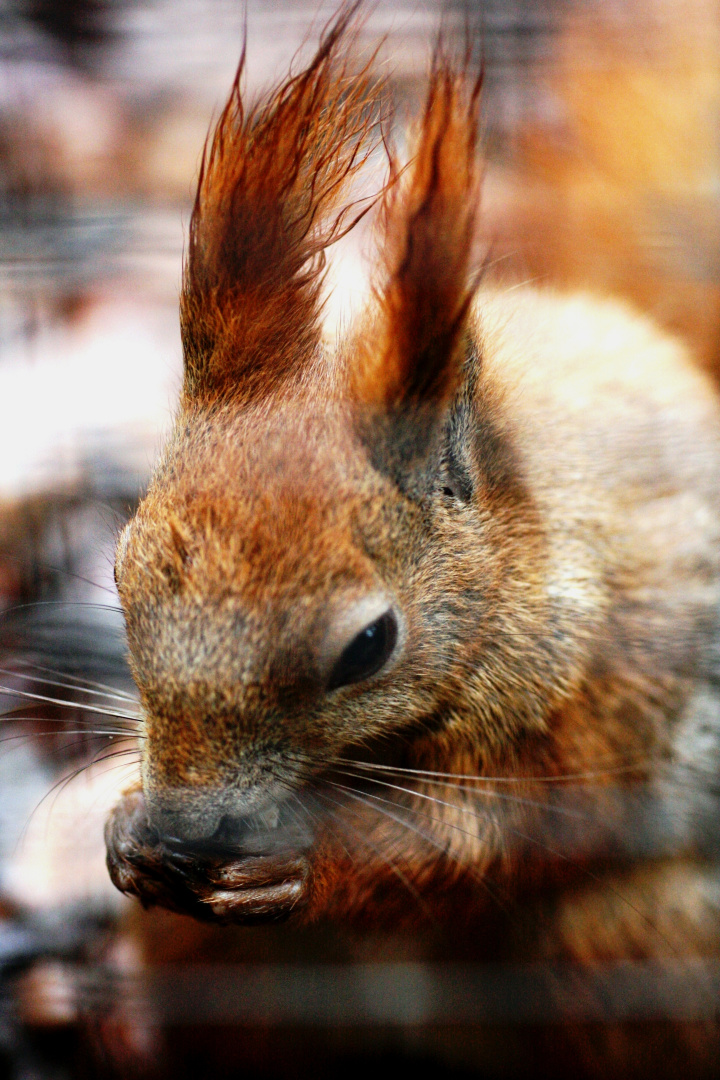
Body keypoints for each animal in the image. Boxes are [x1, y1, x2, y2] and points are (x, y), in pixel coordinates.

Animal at [105, 0, 720, 984]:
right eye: (121, 575)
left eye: (368, 646)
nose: (183, 821)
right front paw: (124, 828)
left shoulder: (608, 698)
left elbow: (485, 841)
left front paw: (301, 865)